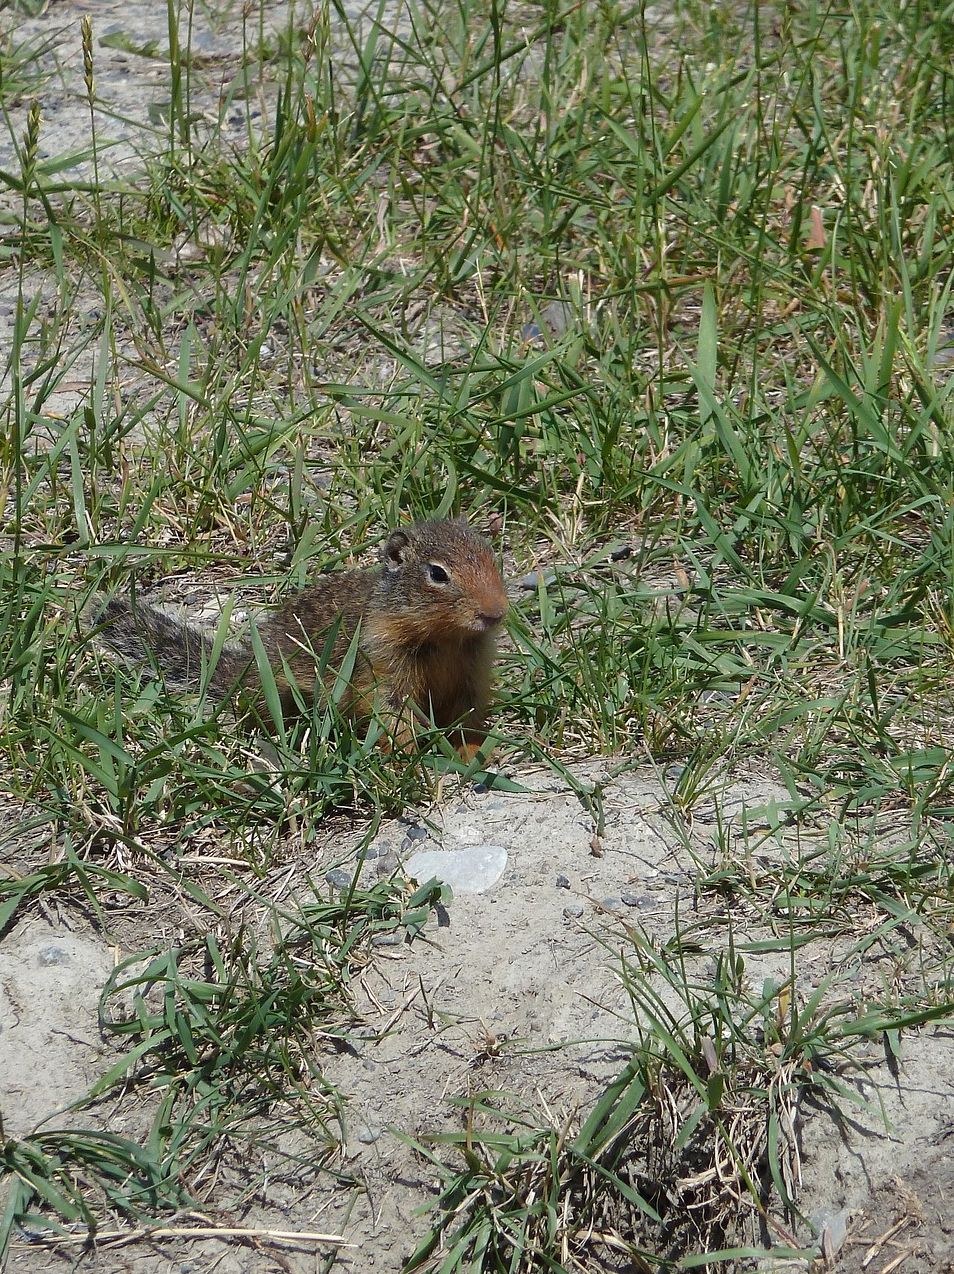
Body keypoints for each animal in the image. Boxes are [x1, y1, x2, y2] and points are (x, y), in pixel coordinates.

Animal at [97, 514, 509, 754]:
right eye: (437, 573)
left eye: (492, 556)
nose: (496, 613)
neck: (446, 638)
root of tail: (240, 669)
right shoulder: (383, 666)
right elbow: (393, 718)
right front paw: (412, 759)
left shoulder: (472, 675)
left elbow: (468, 717)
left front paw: (475, 753)